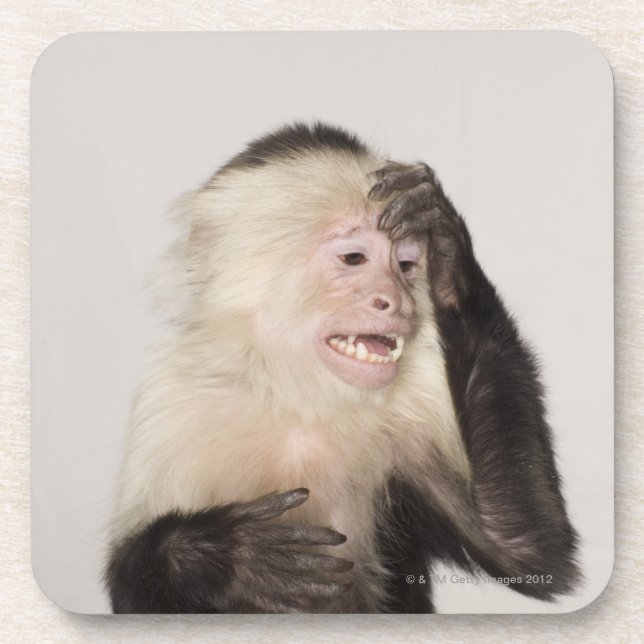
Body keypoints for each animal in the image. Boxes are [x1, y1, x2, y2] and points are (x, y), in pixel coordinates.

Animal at [105, 122, 580, 613]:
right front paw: (225, 556)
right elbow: (137, 603)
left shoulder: (418, 404)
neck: (298, 395)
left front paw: (447, 248)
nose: (399, 301)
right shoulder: (172, 400)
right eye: (354, 259)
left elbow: (523, 546)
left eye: (406, 265)